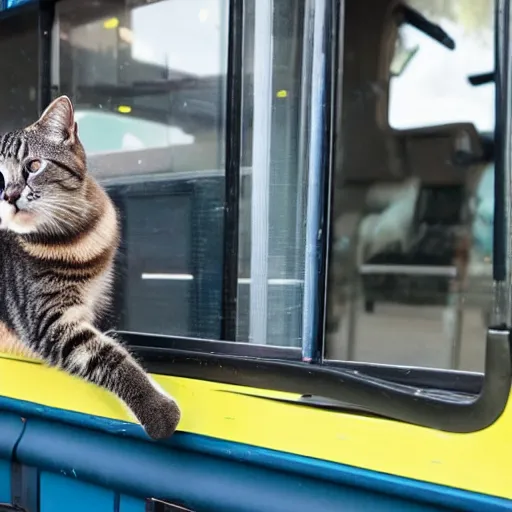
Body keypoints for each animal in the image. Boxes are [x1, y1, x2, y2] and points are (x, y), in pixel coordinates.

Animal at [0, 96, 182, 440]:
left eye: (33, 166)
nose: (11, 194)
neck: (71, 238)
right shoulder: (50, 324)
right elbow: (109, 357)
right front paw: (156, 408)